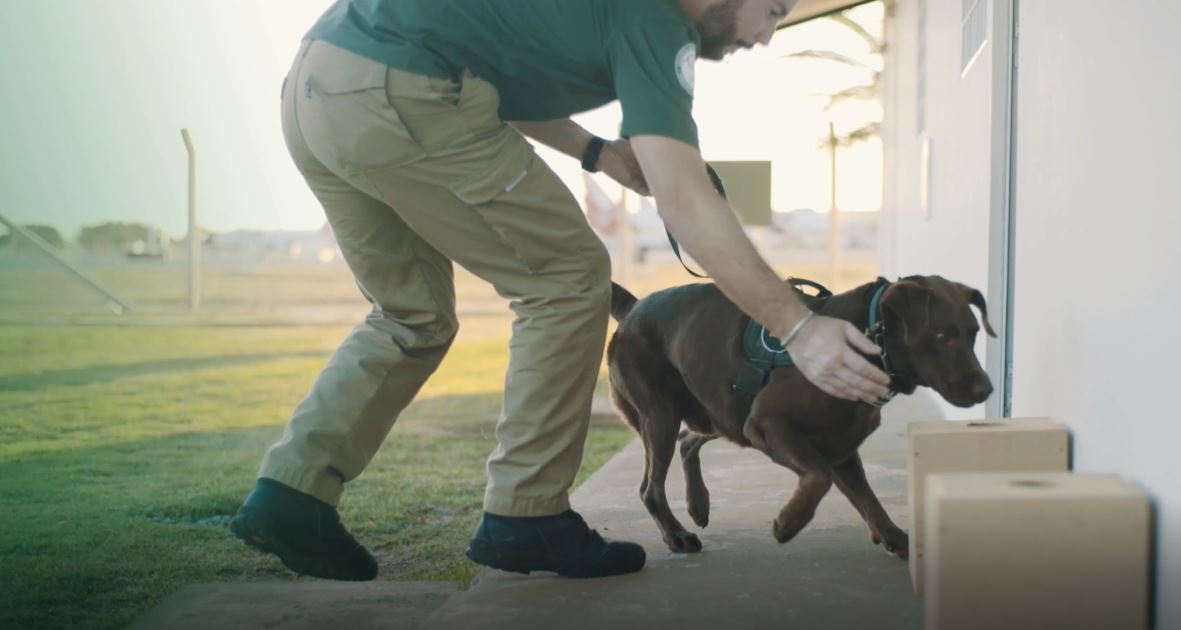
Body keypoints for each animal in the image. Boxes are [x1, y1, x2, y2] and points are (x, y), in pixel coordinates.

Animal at [604, 274, 992, 555]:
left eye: (974, 333)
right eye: (942, 336)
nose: (986, 390)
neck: (865, 343)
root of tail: (633, 307)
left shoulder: (841, 449)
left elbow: (868, 499)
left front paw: (896, 539)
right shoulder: (769, 424)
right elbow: (819, 478)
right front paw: (789, 523)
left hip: (718, 410)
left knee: (688, 439)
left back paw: (698, 504)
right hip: (662, 415)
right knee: (651, 487)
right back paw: (676, 535)